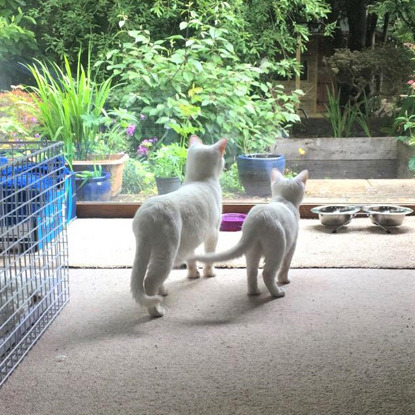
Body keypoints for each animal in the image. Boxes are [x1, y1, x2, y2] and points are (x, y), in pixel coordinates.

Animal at [131, 136, 226, 318]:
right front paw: (209, 274)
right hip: (166, 252)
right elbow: (209, 257)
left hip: (154, 251)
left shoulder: (193, 238)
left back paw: (163, 292)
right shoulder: (213, 233)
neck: (200, 179)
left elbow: (192, 259)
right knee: (150, 280)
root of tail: (146, 215)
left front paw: (193, 275)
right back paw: (157, 310)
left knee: (152, 277)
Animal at [190, 169, 308, 300]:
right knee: (267, 273)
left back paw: (254, 292)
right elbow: (286, 265)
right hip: (278, 248)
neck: (284, 199)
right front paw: (284, 280)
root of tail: (258, 219)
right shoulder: (293, 244)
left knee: (251, 272)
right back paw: (277, 293)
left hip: (252, 251)